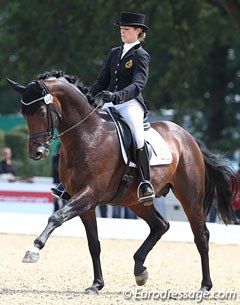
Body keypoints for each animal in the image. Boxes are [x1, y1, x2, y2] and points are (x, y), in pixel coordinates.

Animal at [6, 72, 237, 294]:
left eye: (41, 113)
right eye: (24, 114)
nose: (37, 153)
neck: (87, 135)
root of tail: (188, 137)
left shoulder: (89, 194)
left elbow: (56, 217)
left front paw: (34, 249)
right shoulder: (84, 203)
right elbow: (94, 244)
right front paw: (96, 284)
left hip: (190, 197)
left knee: (201, 236)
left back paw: (205, 285)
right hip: (135, 201)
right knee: (160, 225)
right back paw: (140, 270)